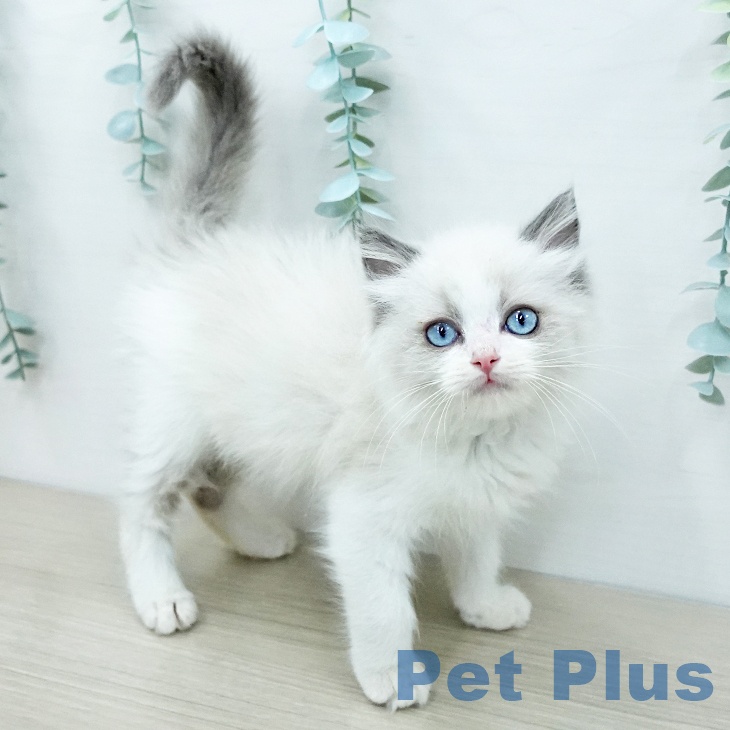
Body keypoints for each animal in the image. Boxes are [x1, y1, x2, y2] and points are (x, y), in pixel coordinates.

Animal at [118, 33, 591, 710]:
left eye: (519, 321)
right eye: (442, 333)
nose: (486, 359)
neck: (477, 441)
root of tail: (196, 243)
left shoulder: (474, 503)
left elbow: (477, 556)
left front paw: (484, 607)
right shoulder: (364, 519)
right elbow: (382, 610)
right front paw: (392, 679)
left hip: (240, 423)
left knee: (211, 485)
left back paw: (261, 541)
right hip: (174, 423)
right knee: (143, 505)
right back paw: (162, 598)